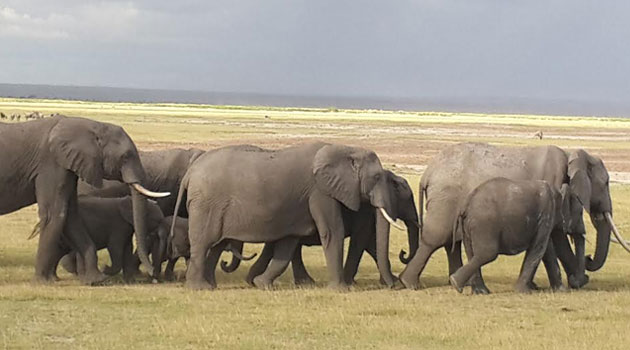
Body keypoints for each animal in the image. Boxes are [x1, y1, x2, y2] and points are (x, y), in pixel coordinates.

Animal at [0, 115, 169, 284]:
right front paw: (43, 282)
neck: (92, 126)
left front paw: (96, 280)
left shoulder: (69, 167)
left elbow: (71, 216)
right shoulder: (52, 164)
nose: (153, 276)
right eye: (126, 156)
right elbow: (54, 215)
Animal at [170, 142, 402, 290]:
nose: (395, 286)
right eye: (377, 177)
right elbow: (332, 231)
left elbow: (288, 243)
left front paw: (262, 285)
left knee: (216, 245)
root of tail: (190, 173)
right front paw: (341, 290)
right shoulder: (320, 192)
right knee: (203, 243)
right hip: (206, 204)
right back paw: (199, 288)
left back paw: (210, 286)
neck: (346, 149)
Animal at [244, 170, 422, 288]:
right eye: (408, 199)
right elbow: (362, 240)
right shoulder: (364, 211)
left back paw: (253, 280)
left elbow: (372, 244)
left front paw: (390, 281)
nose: (403, 252)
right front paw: (351, 282)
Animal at [400, 142, 628, 292]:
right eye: (606, 183)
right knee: (435, 239)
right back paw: (410, 284)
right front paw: (572, 284)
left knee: (451, 242)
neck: (571, 154)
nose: (588, 258)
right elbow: (555, 241)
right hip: (447, 198)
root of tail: (427, 173)